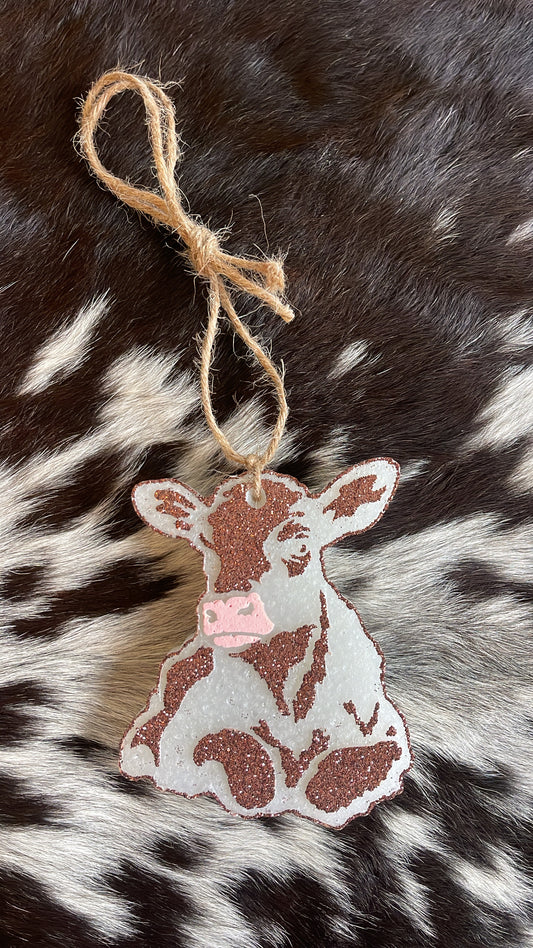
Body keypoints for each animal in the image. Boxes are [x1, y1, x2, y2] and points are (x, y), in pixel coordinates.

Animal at [120, 458, 412, 828]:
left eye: (300, 544)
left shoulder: (388, 729)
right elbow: (241, 757)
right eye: (206, 546)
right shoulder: (181, 737)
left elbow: (340, 778)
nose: (228, 611)